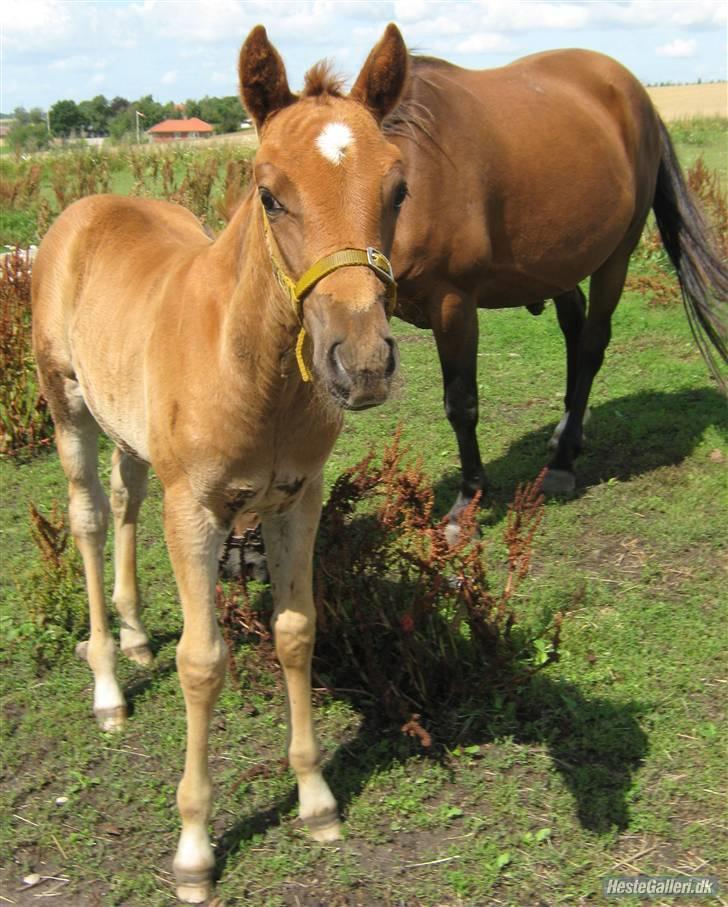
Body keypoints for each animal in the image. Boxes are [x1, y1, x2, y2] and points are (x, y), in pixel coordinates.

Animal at [32, 24, 410, 904]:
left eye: (399, 189)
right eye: (270, 194)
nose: (363, 363)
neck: (252, 367)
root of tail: (89, 209)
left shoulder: (298, 499)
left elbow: (298, 631)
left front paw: (315, 800)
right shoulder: (196, 511)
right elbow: (203, 661)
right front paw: (194, 847)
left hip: (130, 432)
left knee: (124, 499)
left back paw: (136, 635)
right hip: (67, 406)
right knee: (90, 518)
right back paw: (109, 682)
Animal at [384, 51, 724, 516]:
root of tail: (636, 93)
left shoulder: (453, 303)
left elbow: (461, 403)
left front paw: (468, 500)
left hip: (616, 255)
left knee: (592, 342)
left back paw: (563, 462)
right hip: (558, 259)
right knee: (574, 327)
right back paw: (569, 429)